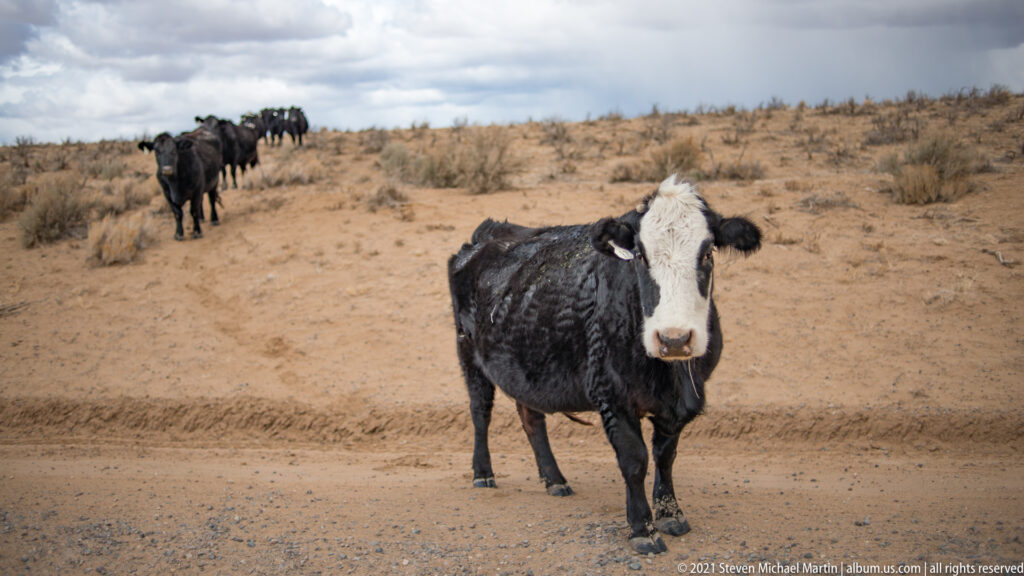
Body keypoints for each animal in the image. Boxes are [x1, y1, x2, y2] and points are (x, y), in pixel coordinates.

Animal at [447, 175, 761, 554]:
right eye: (640, 255)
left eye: (708, 253)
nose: (673, 339)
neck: (669, 374)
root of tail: (487, 234)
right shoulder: (611, 394)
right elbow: (635, 459)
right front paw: (643, 528)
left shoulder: (679, 402)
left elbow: (666, 456)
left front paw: (671, 514)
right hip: (468, 354)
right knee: (481, 411)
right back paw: (483, 473)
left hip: (524, 362)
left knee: (531, 417)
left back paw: (554, 479)